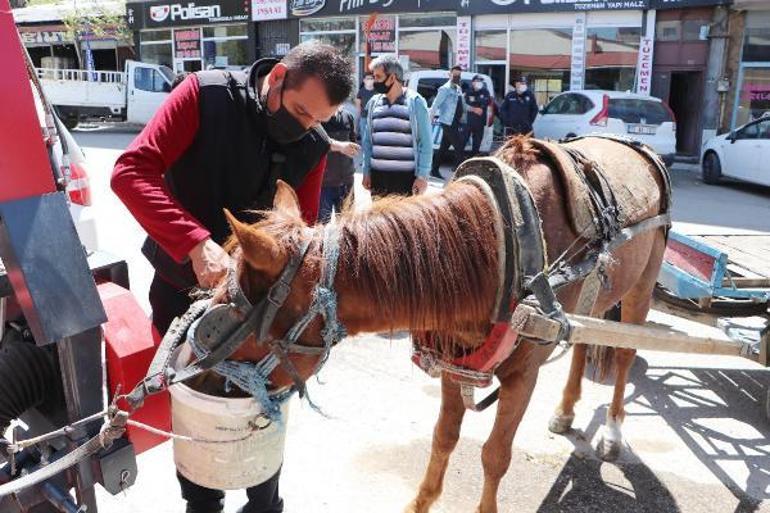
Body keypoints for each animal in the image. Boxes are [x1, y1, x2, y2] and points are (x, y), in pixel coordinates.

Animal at [220, 136, 664, 512]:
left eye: (240, 330)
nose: (212, 385)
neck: (501, 243)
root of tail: (637, 147)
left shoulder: (523, 374)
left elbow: (495, 454)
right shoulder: (455, 361)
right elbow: (444, 436)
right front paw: (421, 501)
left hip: (641, 289)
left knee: (625, 355)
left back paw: (612, 432)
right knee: (583, 346)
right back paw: (567, 410)